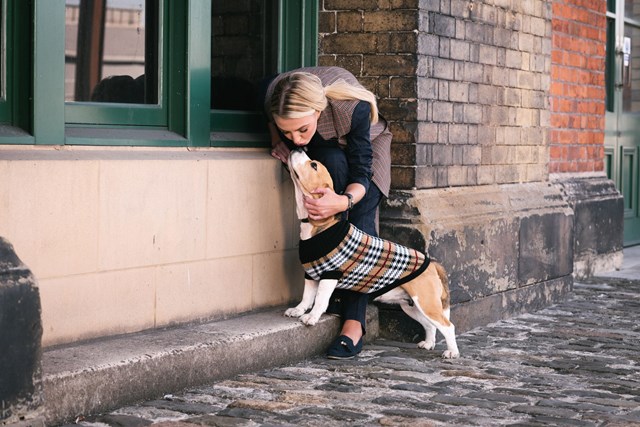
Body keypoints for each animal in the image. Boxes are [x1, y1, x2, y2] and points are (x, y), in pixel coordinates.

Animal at [284, 149, 460, 360]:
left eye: (314, 165)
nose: (298, 149)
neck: (319, 226)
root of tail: (432, 263)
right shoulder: (310, 275)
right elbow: (307, 297)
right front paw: (298, 310)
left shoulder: (329, 276)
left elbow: (319, 300)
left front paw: (311, 317)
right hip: (412, 306)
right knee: (430, 325)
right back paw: (429, 343)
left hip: (426, 303)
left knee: (448, 326)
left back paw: (452, 352)